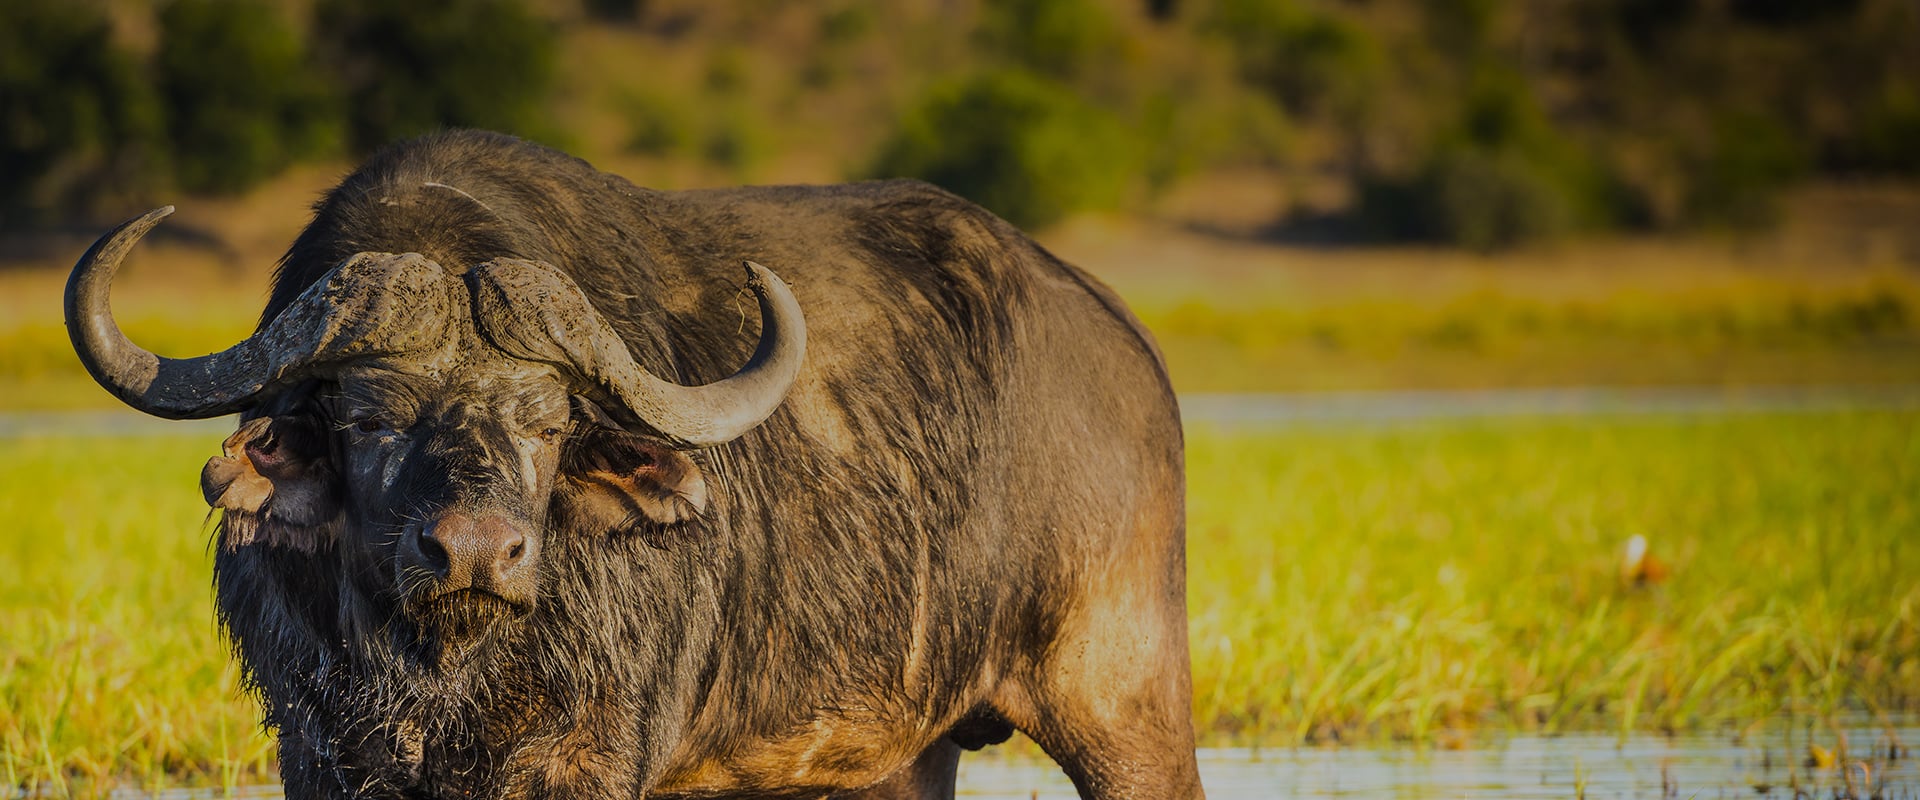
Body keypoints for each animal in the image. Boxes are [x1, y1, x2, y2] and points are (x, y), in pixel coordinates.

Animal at [65, 130, 1201, 798]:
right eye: (369, 416)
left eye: (547, 421)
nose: (475, 551)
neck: (451, 671)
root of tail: (1127, 350)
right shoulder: (319, 750)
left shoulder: (589, 755)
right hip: (896, 757)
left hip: (1126, 699)